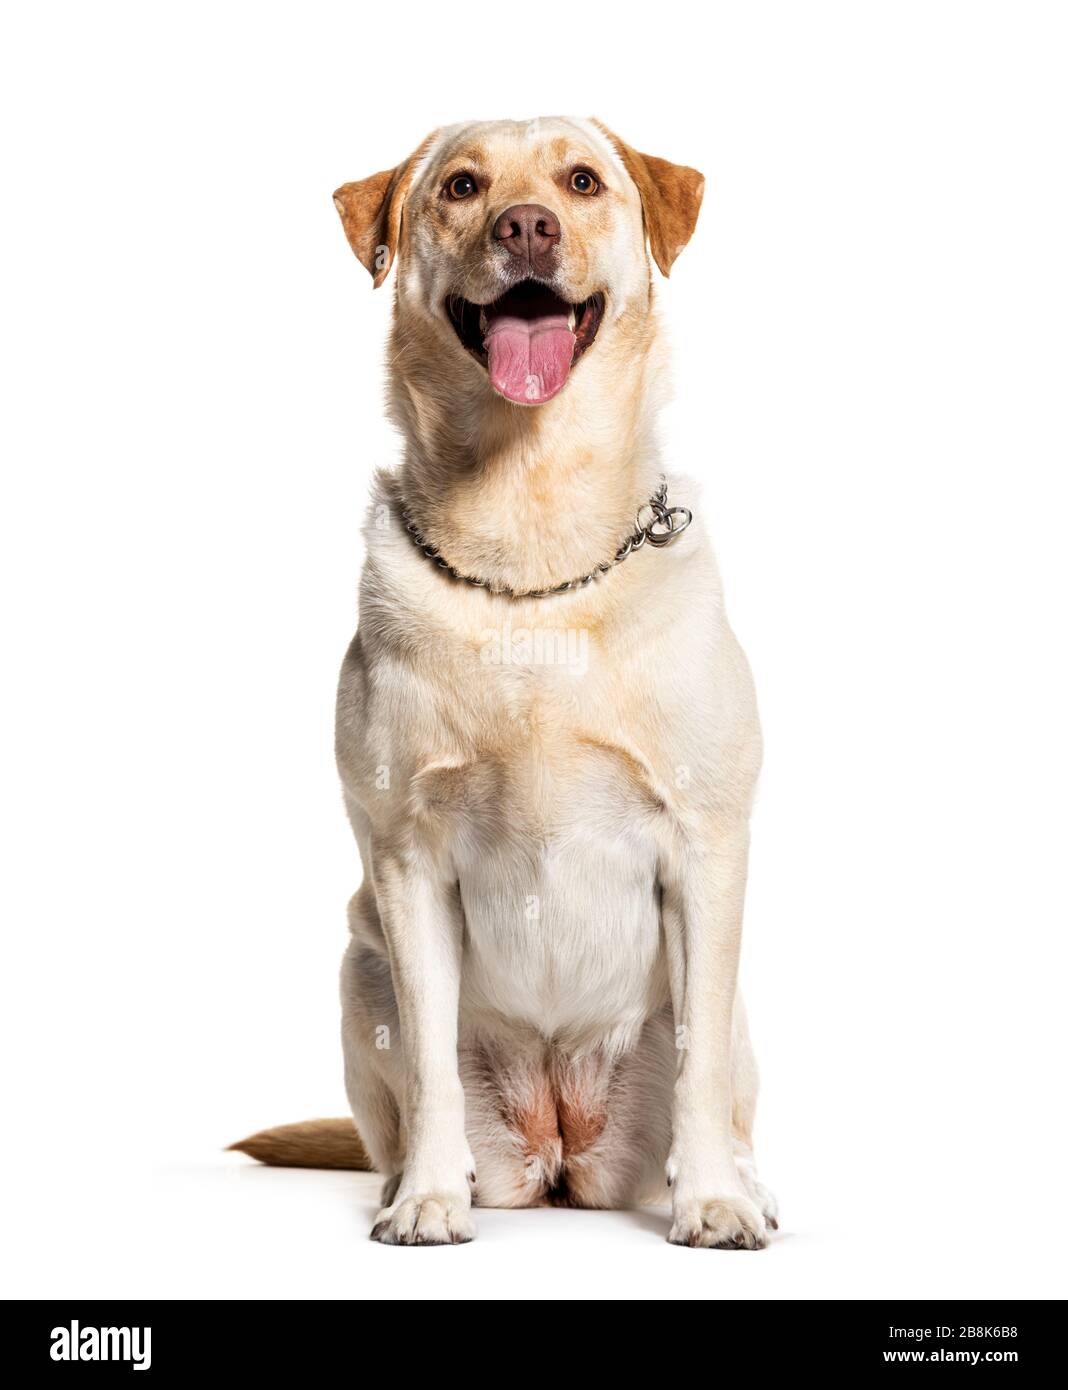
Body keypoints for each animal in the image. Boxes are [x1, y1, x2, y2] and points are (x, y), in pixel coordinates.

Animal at [230, 119, 778, 1251]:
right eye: (461, 186)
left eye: (583, 181)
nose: (526, 226)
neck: (530, 547)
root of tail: (561, 1148)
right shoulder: (405, 858)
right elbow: (431, 1063)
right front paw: (430, 1200)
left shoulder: (707, 843)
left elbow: (700, 1068)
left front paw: (712, 1201)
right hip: (358, 972)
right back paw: (407, 1181)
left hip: (731, 1003)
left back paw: (748, 1183)